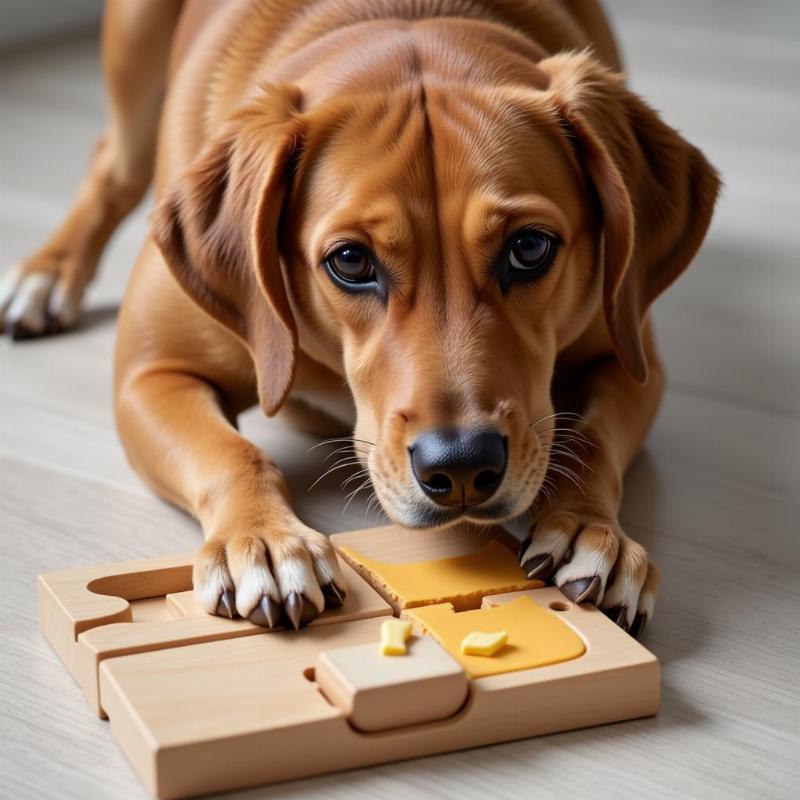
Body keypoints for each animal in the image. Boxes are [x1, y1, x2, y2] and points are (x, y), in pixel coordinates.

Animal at [0, 1, 720, 636]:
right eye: (350, 261)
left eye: (529, 247)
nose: (461, 466)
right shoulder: (150, 371)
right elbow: (233, 451)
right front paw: (265, 541)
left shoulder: (628, 353)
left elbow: (591, 438)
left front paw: (591, 530)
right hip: (135, 46)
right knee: (113, 163)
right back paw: (47, 273)